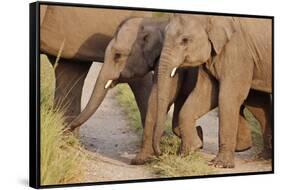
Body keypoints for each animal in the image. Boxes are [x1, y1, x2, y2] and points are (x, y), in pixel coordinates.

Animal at [69, 16, 253, 165]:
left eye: (118, 56)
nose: (69, 128)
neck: (154, 23)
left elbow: (162, 97)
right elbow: (159, 99)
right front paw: (142, 160)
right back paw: (242, 147)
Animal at [153, 14, 272, 168]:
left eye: (185, 40)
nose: (161, 153)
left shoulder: (237, 51)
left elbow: (227, 96)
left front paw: (219, 165)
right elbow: (206, 93)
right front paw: (190, 150)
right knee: (258, 103)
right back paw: (263, 157)